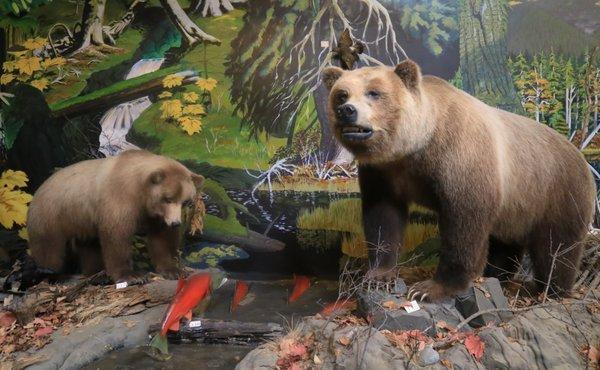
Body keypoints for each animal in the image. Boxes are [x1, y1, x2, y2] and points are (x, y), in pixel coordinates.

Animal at [27, 149, 205, 282]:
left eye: (186, 202)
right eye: (168, 199)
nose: (176, 223)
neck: (140, 193)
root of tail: (38, 188)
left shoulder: (156, 216)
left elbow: (161, 239)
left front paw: (173, 270)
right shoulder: (119, 199)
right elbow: (117, 236)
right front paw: (131, 276)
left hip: (83, 221)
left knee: (89, 245)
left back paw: (95, 272)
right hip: (52, 213)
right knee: (49, 246)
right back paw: (51, 273)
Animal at [324, 60, 596, 302]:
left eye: (374, 93)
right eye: (342, 94)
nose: (347, 110)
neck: (416, 146)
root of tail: (580, 156)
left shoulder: (459, 157)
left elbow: (464, 224)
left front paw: (430, 288)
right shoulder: (383, 171)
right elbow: (383, 217)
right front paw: (378, 276)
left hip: (557, 191)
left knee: (557, 247)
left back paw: (552, 289)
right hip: (516, 206)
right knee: (506, 242)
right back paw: (498, 274)